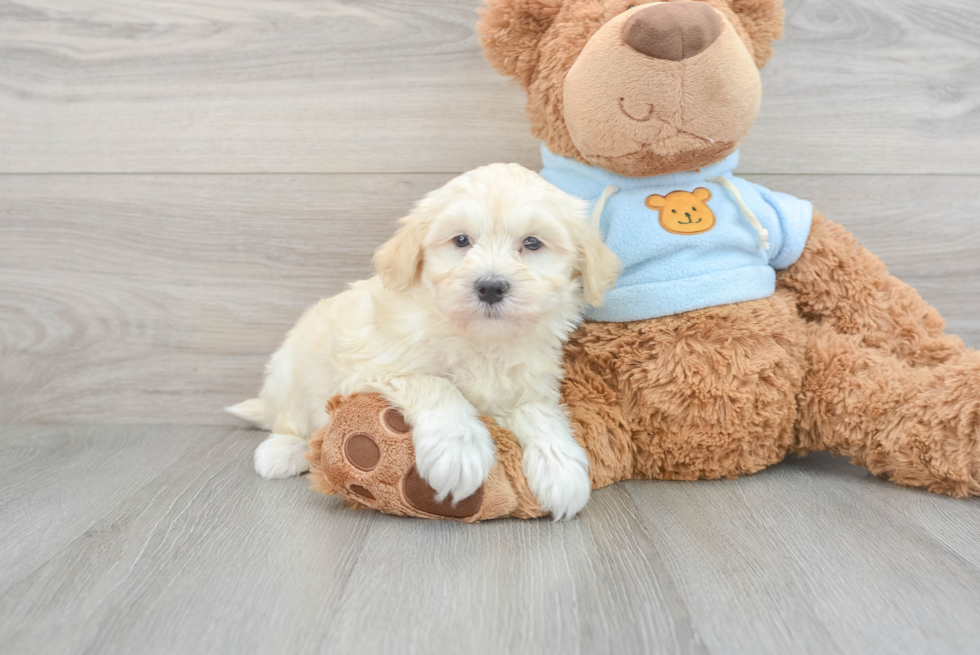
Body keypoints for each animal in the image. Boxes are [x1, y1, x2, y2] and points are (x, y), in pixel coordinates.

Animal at [226, 163, 616, 516]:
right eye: (461, 240)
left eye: (532, 243)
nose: (490, 286)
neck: (480, 338)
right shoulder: (373, 367)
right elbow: (435, 384)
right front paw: (459, 448)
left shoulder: (528, 381)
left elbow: (538, 412)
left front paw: (560, 467)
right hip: (289, 371)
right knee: (290, 421)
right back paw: (283, 451)